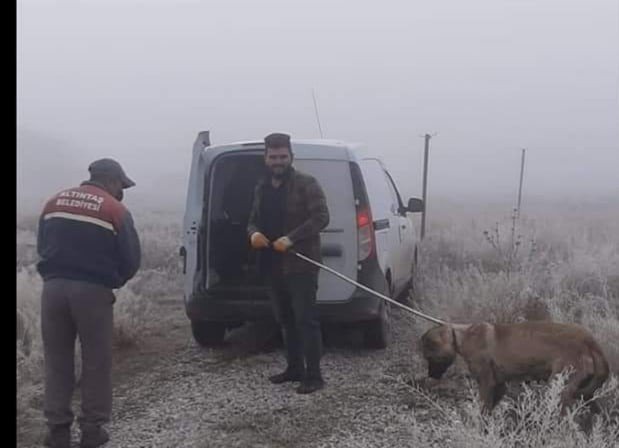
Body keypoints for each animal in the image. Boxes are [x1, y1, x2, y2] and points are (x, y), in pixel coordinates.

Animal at [422, 322, 612, 412]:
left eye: (429, 357)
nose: (430, 375)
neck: (462, 336)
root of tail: (589, 339)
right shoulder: (499, 385)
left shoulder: (486, 384)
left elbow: (483, 409)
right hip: (586, 392)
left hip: (560, 388)